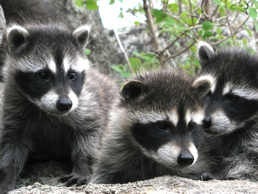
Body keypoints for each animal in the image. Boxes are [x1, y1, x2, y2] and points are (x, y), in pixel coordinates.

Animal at [0, 23, 118, 192]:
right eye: (43, 75)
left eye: (72, 75)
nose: (64, 104)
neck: (45, 110)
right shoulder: (13, 105)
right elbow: (12, 145)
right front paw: (6, 176)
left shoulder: (86, 102)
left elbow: (90, 132)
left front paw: (83, 166)